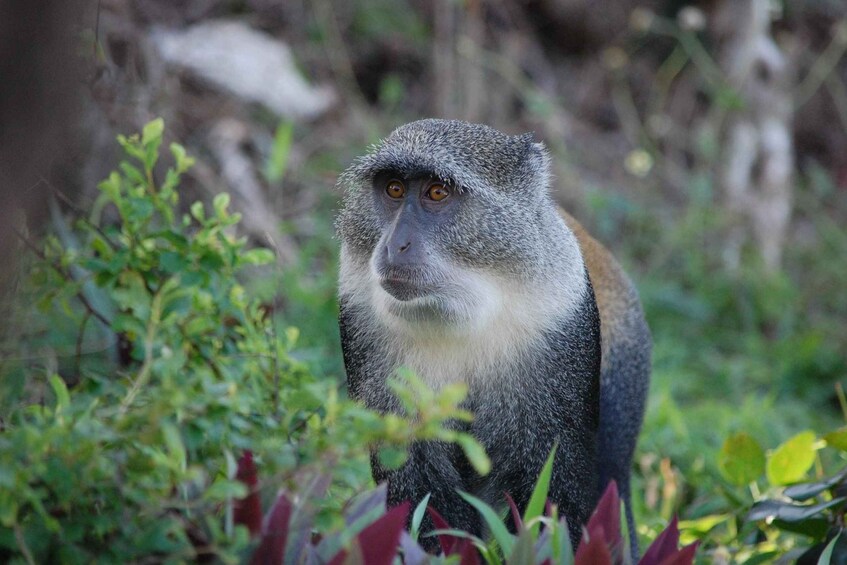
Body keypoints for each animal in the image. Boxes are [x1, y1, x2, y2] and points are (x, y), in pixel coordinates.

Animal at [336, 119, 650, 557]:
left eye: (437, 192)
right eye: (394, 189)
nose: (396, 244)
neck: (464, 309)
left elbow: (558, 489)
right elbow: (420, 491)